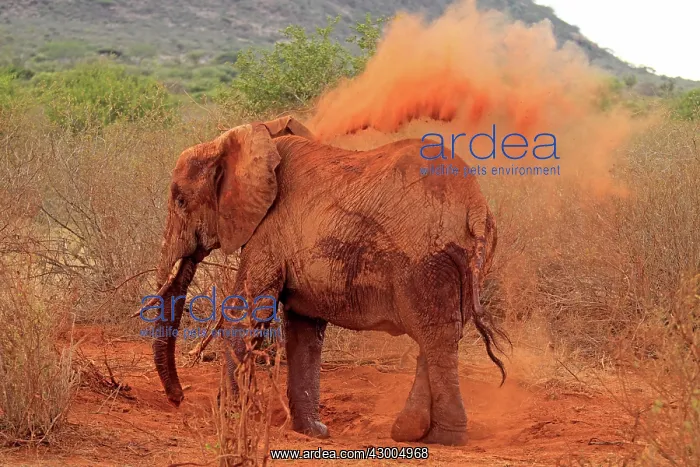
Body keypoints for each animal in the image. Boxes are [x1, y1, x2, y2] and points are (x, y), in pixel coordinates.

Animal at [142, 115, 508, 446]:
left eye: (180, 200)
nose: (178, 399)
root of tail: (475, 208)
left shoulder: (269, 232)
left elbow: (244, 315)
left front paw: (228, 417)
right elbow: (305, 329)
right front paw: (313, 432)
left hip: (425, 260)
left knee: (435, 335)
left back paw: (443, 438)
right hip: (470, 262)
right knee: (442, 335)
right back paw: (412, 433)